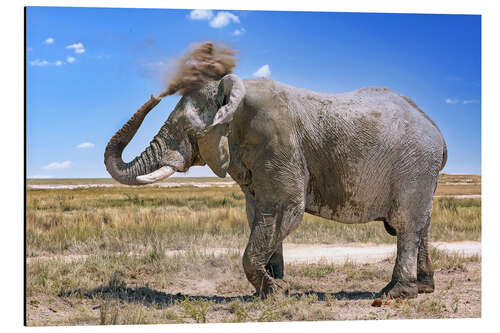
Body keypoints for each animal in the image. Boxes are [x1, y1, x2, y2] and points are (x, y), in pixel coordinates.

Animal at [103, 74, 448, 298]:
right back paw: (424, 287)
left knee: (406, 224)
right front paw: (275, 287)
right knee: (423, 223)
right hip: (422, 171)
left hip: (414, 165)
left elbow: (284, 210)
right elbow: (259, 215)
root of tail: (437, 130)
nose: (154, 95)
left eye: (187, 131)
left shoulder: (276, 141)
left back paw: (395, 293)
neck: (234, 94)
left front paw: (277, 291)